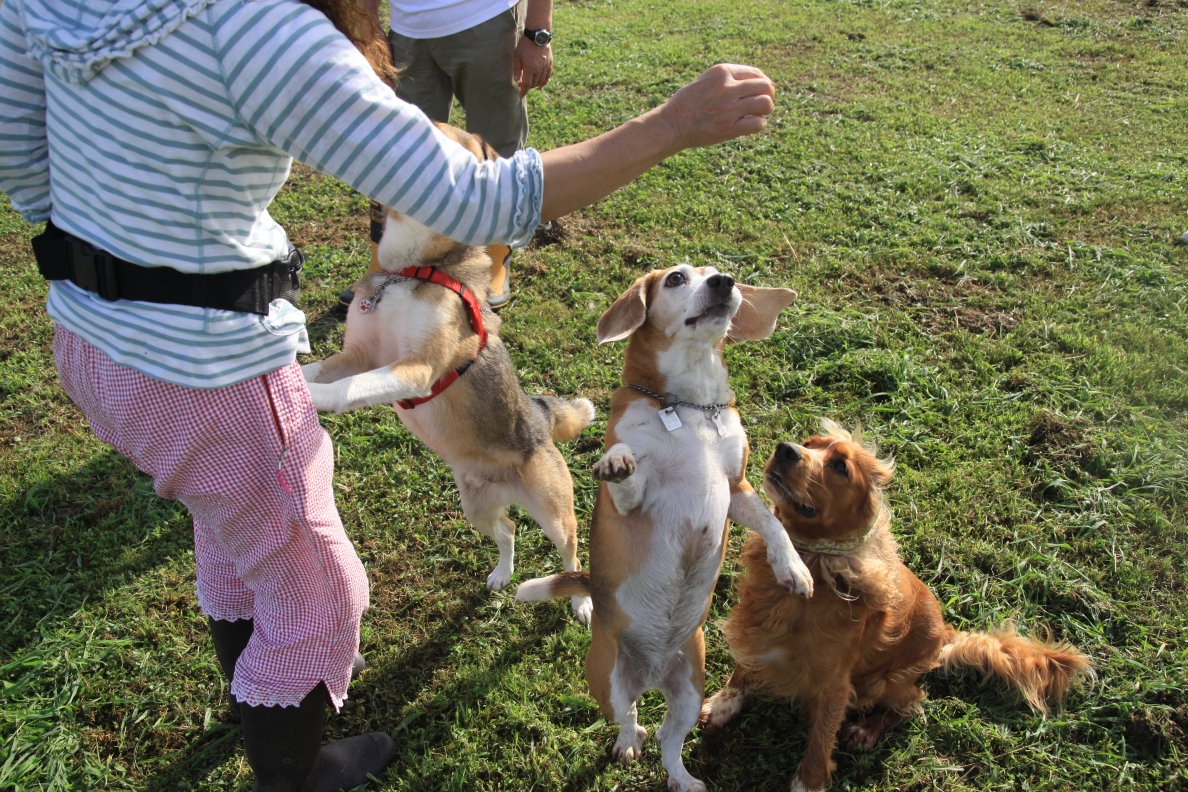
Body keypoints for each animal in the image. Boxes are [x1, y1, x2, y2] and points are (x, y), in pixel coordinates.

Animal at [301, 124, 594, 622]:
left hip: (554, 512)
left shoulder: (414, 368)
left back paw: (579, 600)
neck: (410, 270)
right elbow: (321, 369)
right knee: (509, 529)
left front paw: (312, 399)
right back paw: (501, 574)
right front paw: (283, 375)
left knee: (571, 553)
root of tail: (540, 414)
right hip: (475, 506)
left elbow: (347, 389)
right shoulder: (358, 354)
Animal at [515, 265, 814, 791]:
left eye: (718, 271)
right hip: (608, 683)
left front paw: (792, 569)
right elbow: (628, 478)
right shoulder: (632, 503)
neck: (691, 408)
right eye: (676, 278)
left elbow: (774, 526)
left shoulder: (737, 489)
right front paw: (619, 464)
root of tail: (652, 674)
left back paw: (683, 779)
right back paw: (628, 742)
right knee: (630, 718)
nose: (724, 282)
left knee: (669, 739)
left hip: (692, 690)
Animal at [700, 421, 1094, 792]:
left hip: (888, 680)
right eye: (810, 443)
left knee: (910, 703)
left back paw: (866, 730)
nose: (785, 449)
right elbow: (744, 667)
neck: (814, 561)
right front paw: (723, 703)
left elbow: (822, 737)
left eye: (840, 466)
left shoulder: (835, 683)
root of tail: (946, 632)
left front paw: (808, 781)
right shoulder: (755, 626)